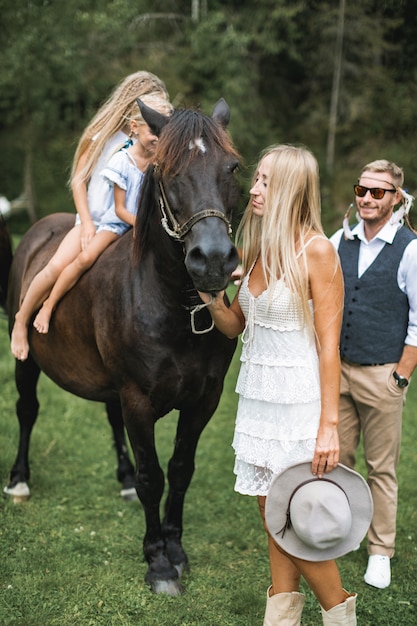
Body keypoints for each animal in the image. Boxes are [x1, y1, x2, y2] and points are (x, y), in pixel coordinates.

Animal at [0, 98, 239, 596]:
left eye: (232, 167)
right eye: (169, 171)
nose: (212, 260)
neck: (175, 308)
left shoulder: (203, 400)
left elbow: (181, 470)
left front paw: (177, 550)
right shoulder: (138, 399)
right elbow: (153, 477)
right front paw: (159, 563)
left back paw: (121, 479)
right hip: (27, 360)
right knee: (27, 410)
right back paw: (20, 481)